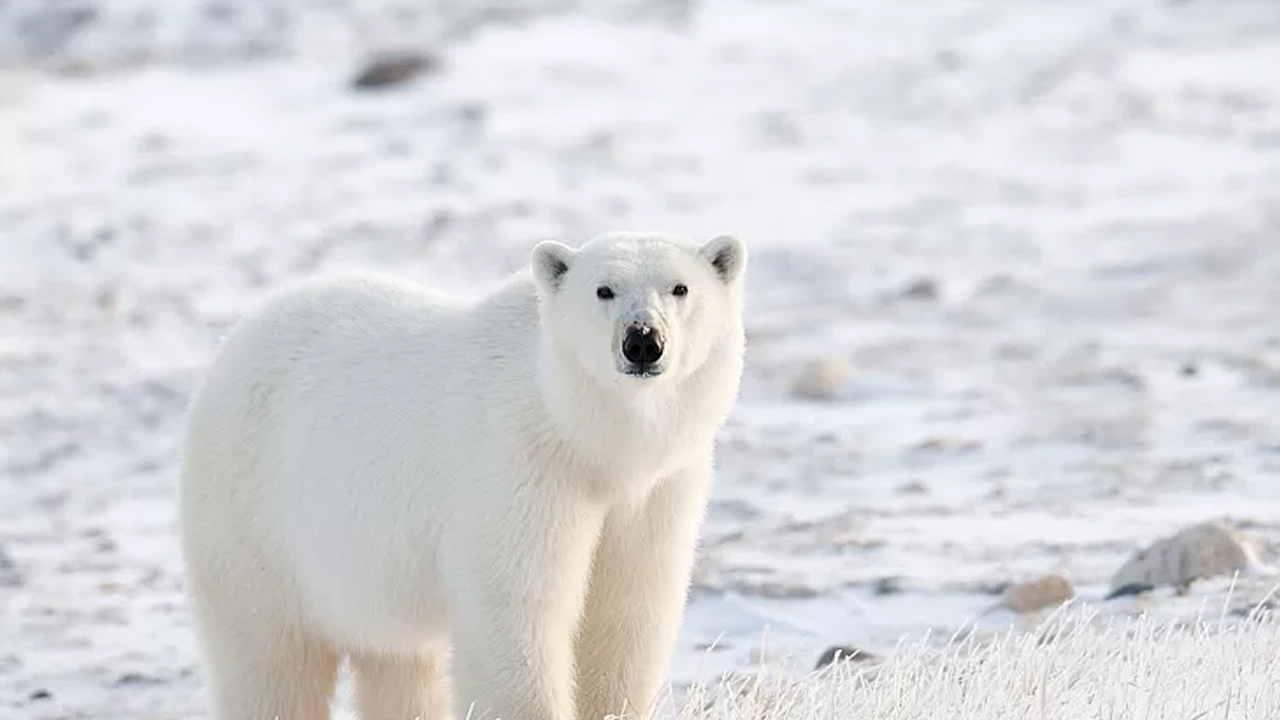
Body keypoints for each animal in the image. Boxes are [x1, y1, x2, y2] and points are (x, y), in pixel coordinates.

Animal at [175, 230, 747, 717]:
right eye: (603, 289)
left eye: (680, 288)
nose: (643, 340)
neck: (589, 441)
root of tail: (234, 341)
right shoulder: (519, 465)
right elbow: (516, 611)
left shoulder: (656, 489)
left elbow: (626, 612)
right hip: (256, 520)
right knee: (269, 659)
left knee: (399, 664)